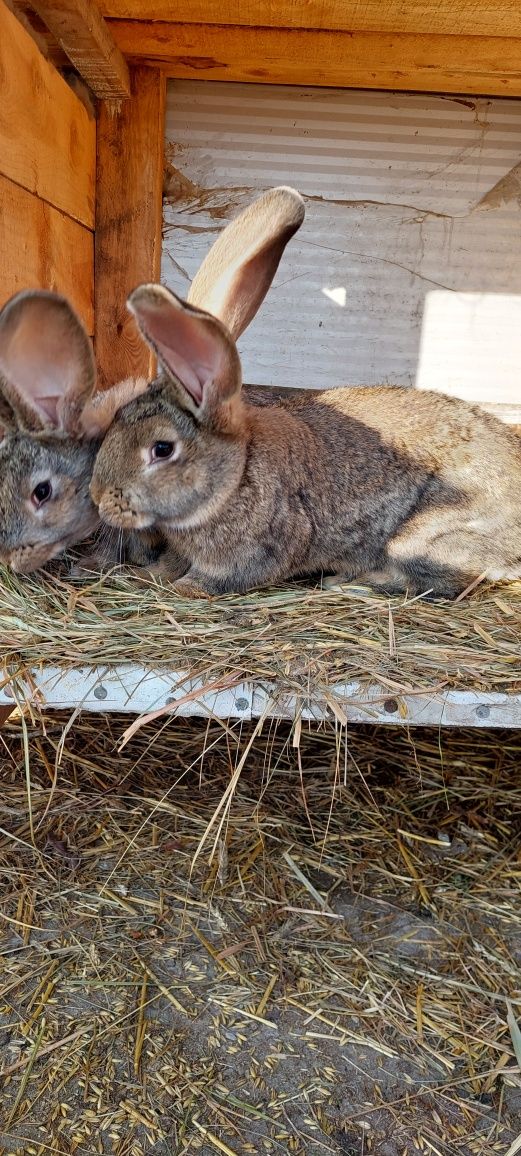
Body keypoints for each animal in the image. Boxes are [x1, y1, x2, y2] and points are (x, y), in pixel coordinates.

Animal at [90, 184, 521, 601]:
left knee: (442, 582)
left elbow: (217, 578)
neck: (236, 475)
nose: (98, 498)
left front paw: (185, 587)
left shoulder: (258, 548)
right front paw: (147, 575)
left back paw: (350, 583)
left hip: (422, 539)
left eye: (162, 449)